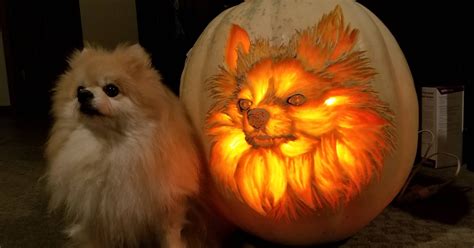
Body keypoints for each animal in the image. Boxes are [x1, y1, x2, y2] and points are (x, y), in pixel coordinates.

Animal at [42, 43, 202, 247]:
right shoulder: (95, 207)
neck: (110, 147)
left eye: (111, 89)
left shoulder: (166, 202)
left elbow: (169, 233)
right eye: (79, 89)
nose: (83, 95)